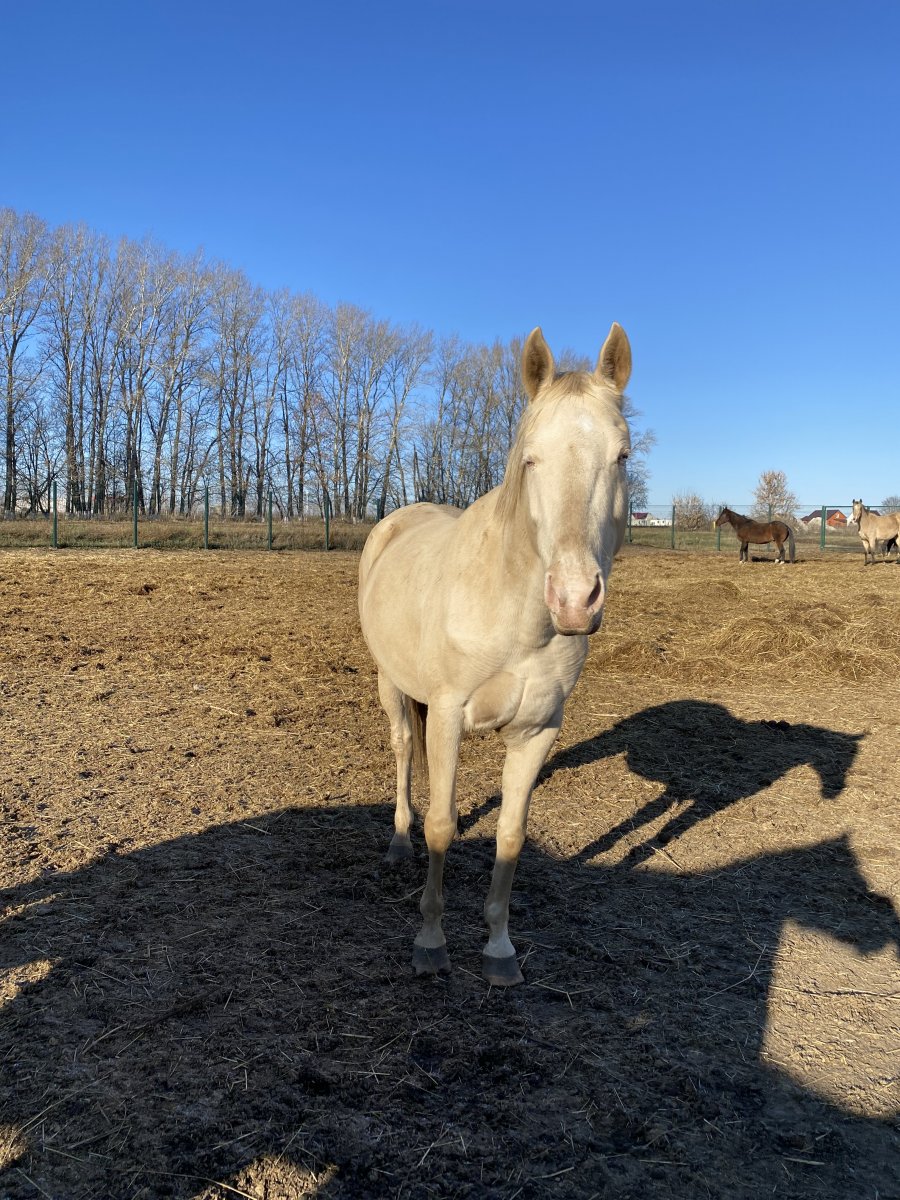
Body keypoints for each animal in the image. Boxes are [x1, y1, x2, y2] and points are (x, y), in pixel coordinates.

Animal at [358, 323, 632, 986]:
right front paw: (430, 942)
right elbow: (441, 825)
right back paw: (398, 843)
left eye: (622, 456)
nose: (574, 599)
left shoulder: (538, 729)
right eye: (530, 457)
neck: (517, 617)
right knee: (403, 751)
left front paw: (499, 950)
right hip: (391, 684)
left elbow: (510, 834)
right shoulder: (448, 715)